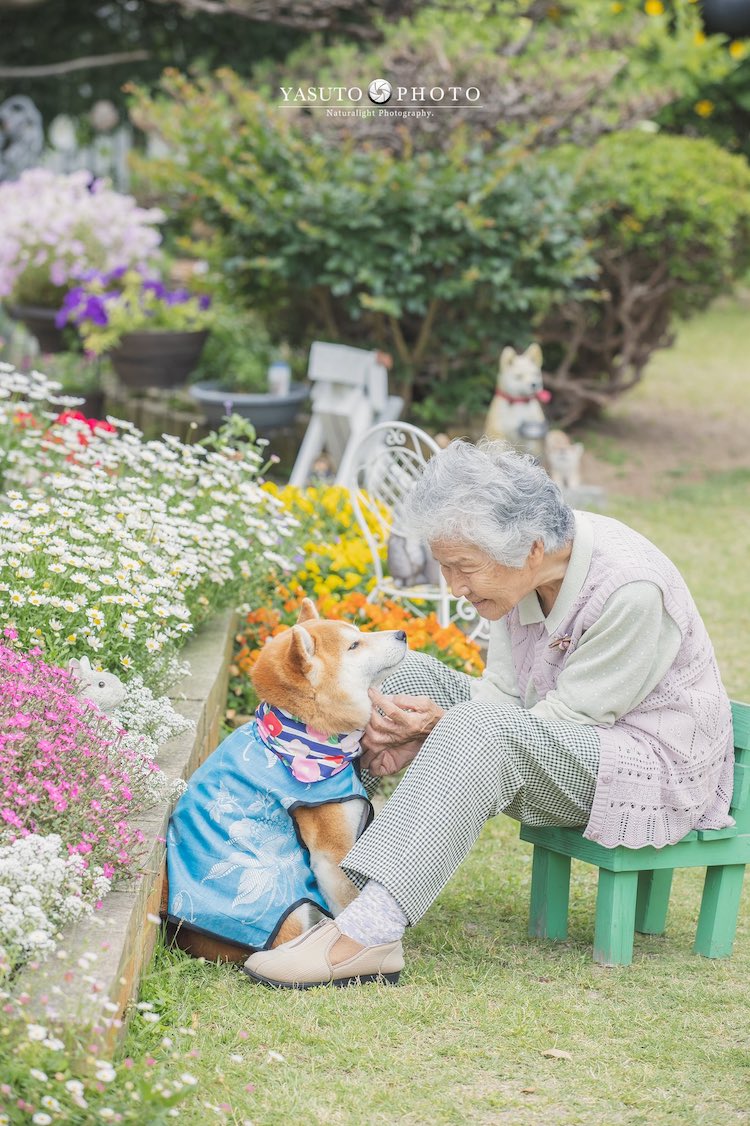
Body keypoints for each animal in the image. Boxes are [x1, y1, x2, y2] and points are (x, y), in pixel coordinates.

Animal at [163, 603, 405, 963]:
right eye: (354, 645)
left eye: (359, 633)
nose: (403, 633)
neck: (303, 739)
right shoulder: (331, 852)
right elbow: (348, 901)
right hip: (288, 910)